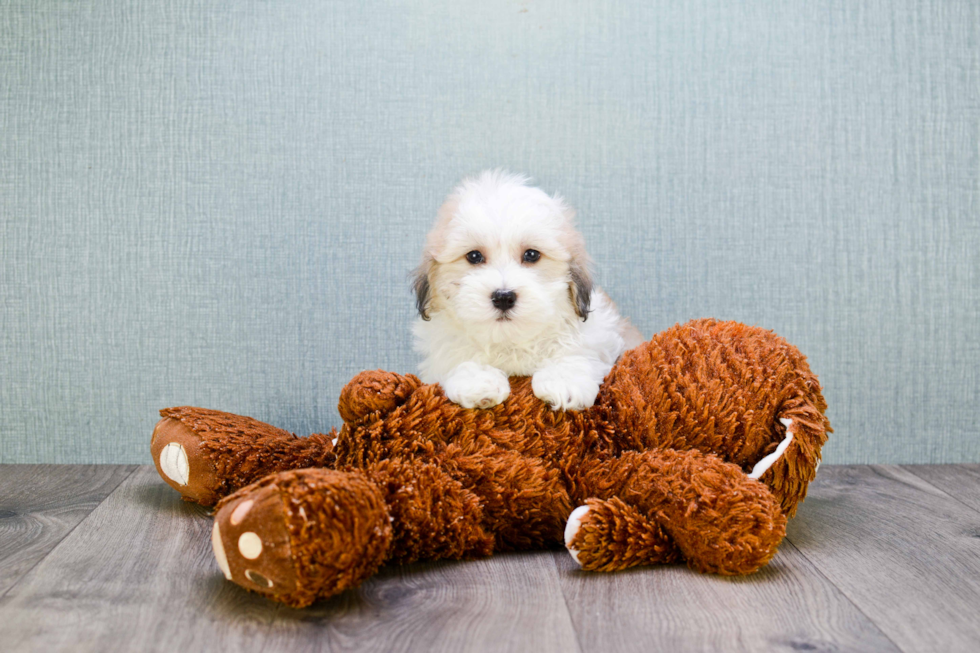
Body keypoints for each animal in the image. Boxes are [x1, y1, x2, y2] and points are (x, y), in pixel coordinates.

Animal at [408, 171, 644, 410]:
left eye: (531, 255)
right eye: (474, 256)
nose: (503, 297)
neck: (510, 341)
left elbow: (578, 350)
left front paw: (563, 380)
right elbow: (458, 357)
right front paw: (478, 381)